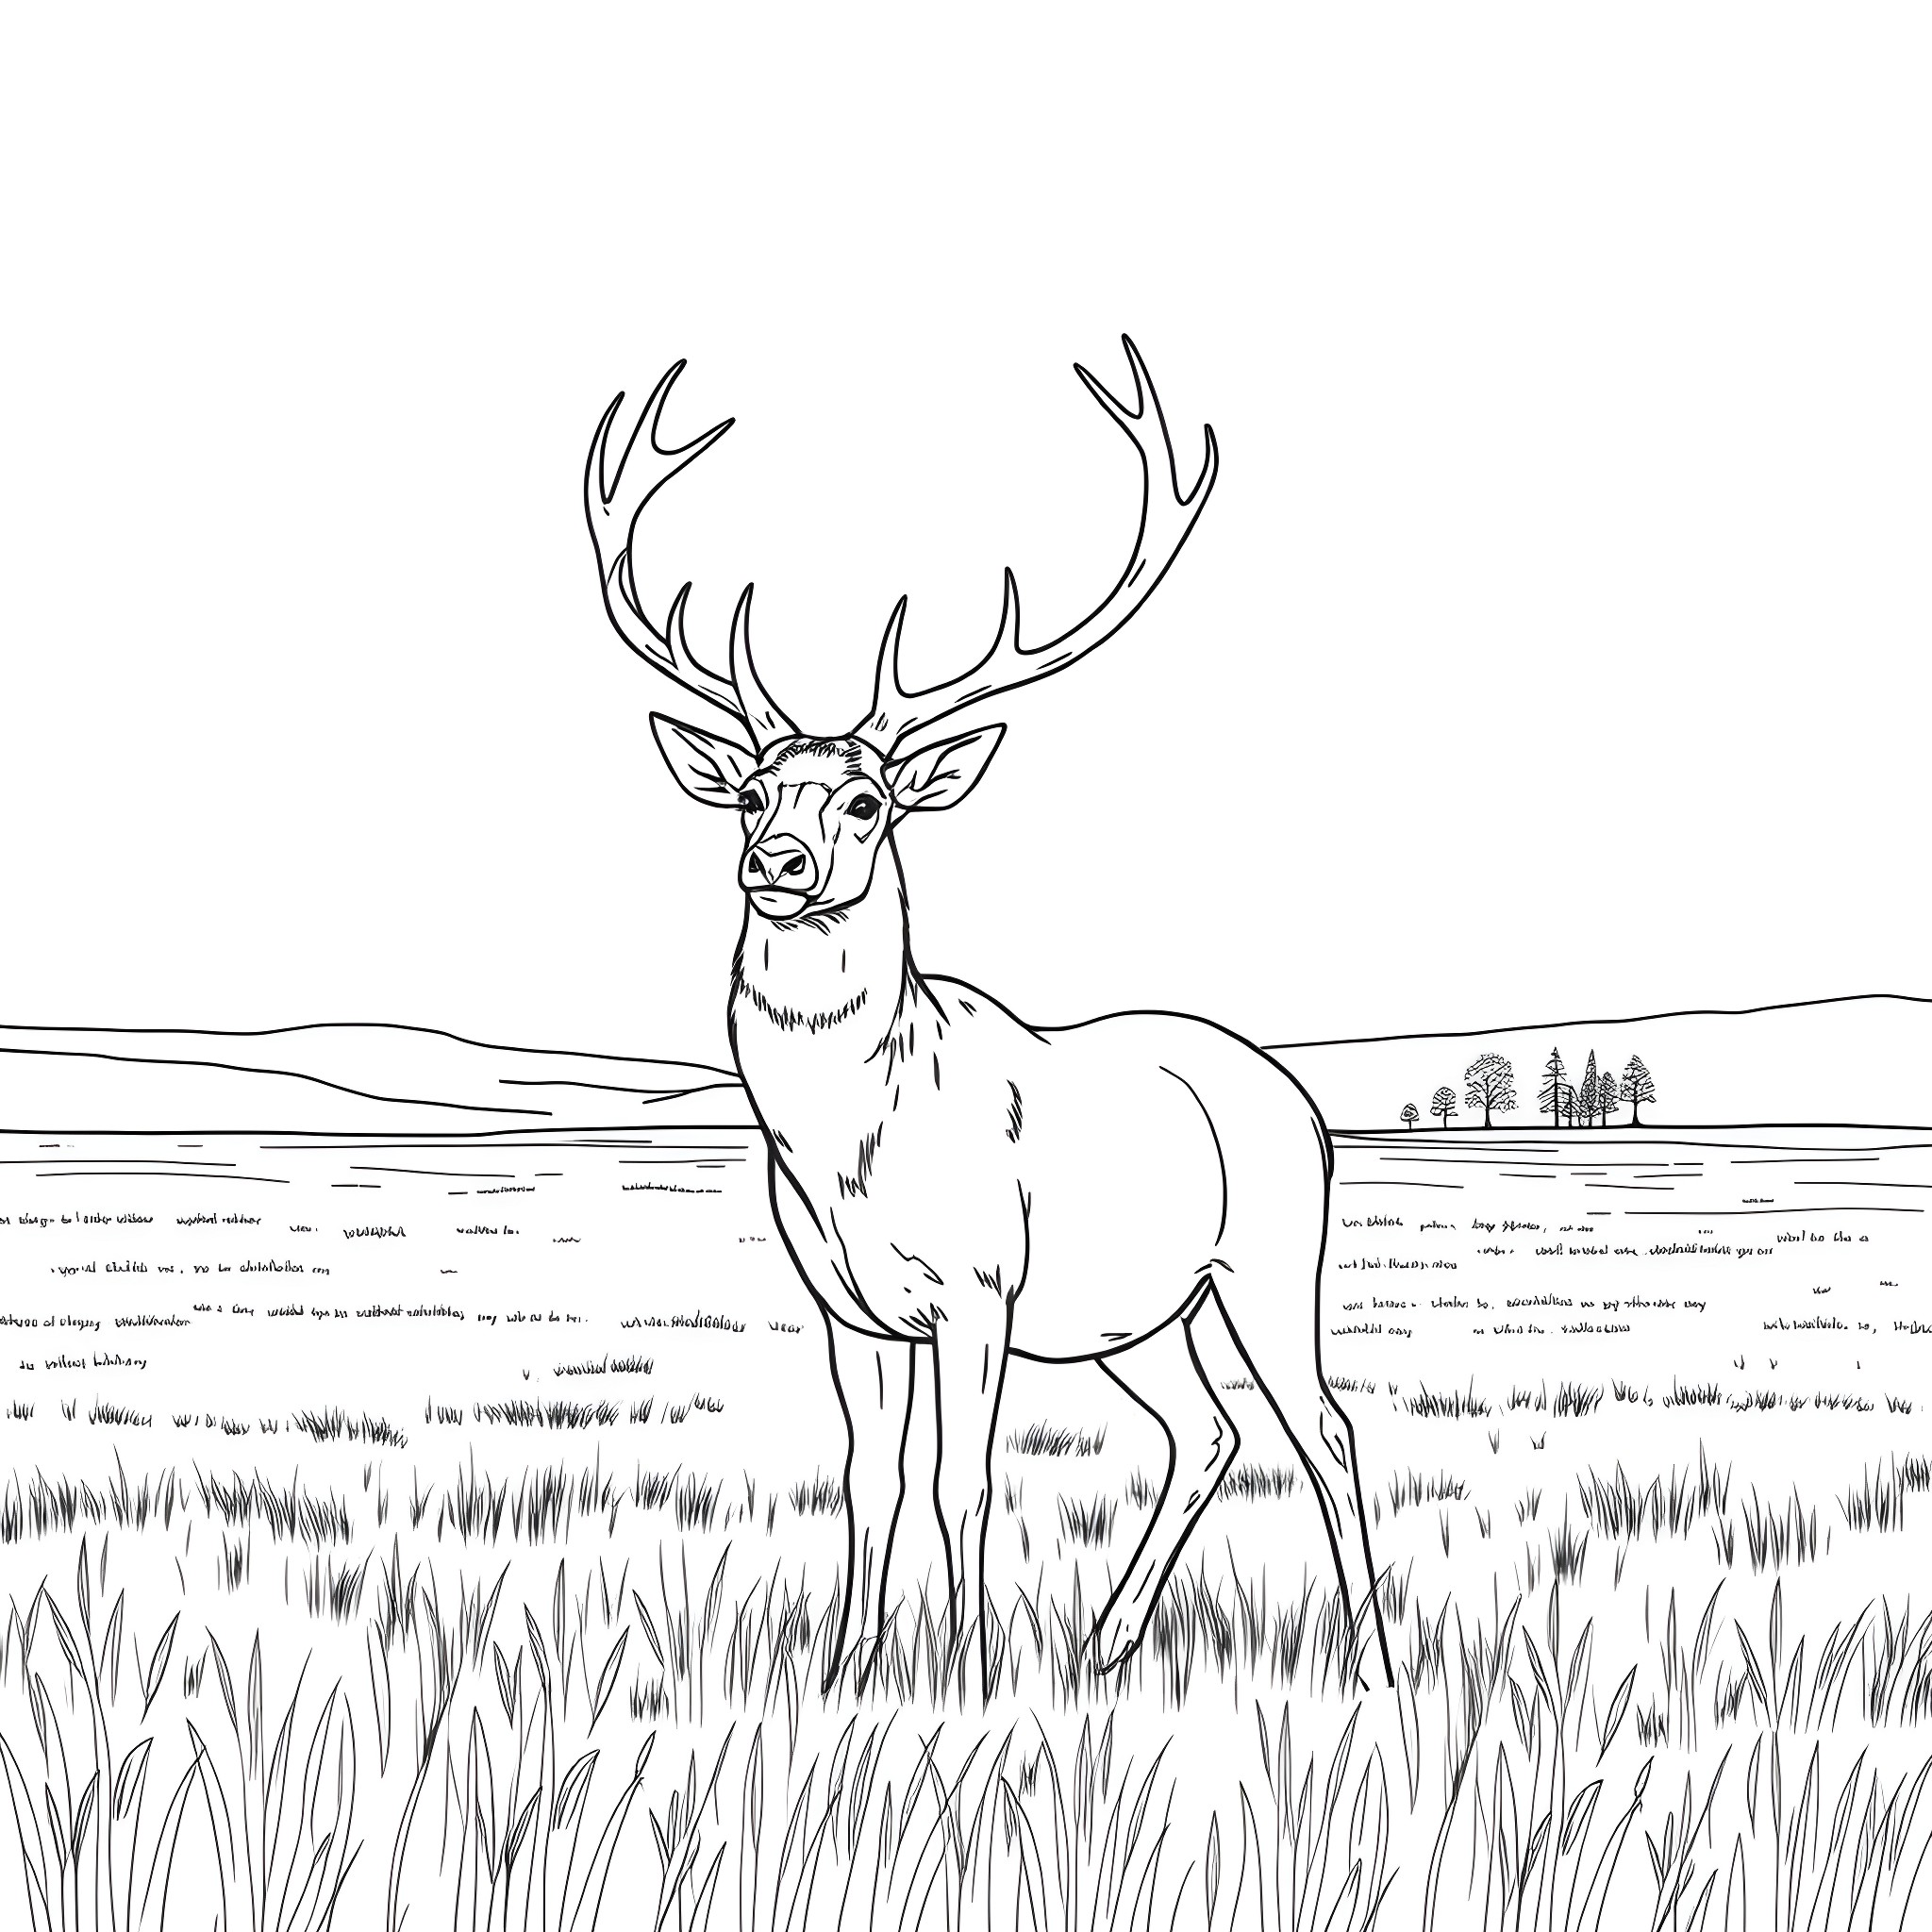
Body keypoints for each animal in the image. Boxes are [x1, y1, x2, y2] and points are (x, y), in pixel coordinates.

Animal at [584, 340, 1393, 1699]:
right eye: (750, 792)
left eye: (867, 800)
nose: (776, 862)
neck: (852, 1148)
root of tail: (1295, 1096)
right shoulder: (849, 1308)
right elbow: (869, 1480)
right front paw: (848, 1670)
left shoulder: (979, 1290)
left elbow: (961, 1481)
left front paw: (965, 1674)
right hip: (1137, 1310)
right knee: (1208, 1428)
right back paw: (1106, 1641)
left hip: (1271, 1257)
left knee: (1323, 1428)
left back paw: (1375, 1665)